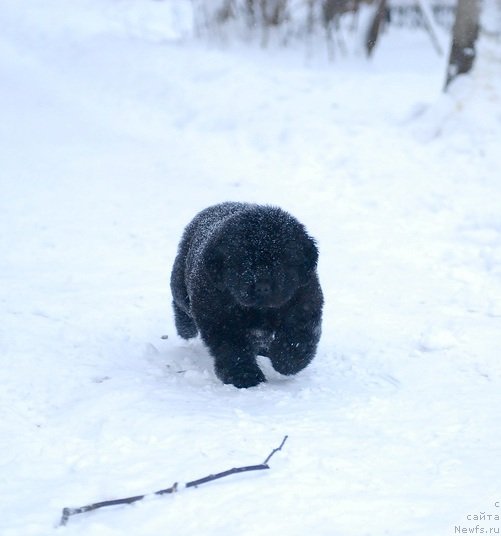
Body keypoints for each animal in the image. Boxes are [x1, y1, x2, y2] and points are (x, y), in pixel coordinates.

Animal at [170, 203, 322, 388]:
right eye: (243, 261)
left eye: (282, 261)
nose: (263, 287)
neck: (260, 310)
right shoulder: (220, 319)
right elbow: (233, 349)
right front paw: (244, 376)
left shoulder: (304, 302)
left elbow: (298, 335)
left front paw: (286, 361)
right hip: (181, 284)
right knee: (180, 303)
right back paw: (184, 327)